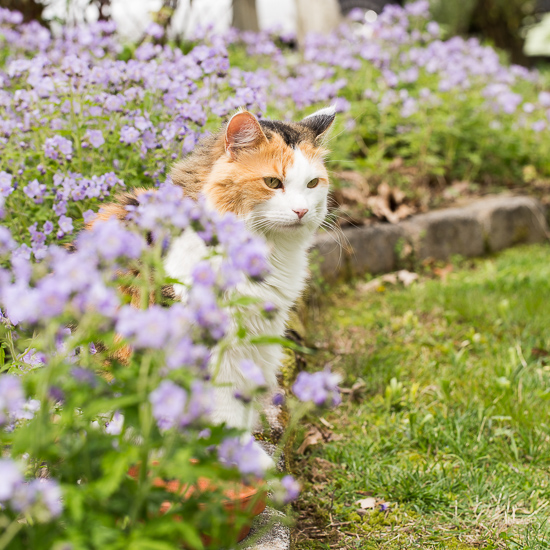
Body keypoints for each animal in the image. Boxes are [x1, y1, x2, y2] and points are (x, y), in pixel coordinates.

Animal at [95, 106, 336, 466]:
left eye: (312, 183)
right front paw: (245, 459)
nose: (302, 210)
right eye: (273, 182)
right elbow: (226, 413)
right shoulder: (216, 350)